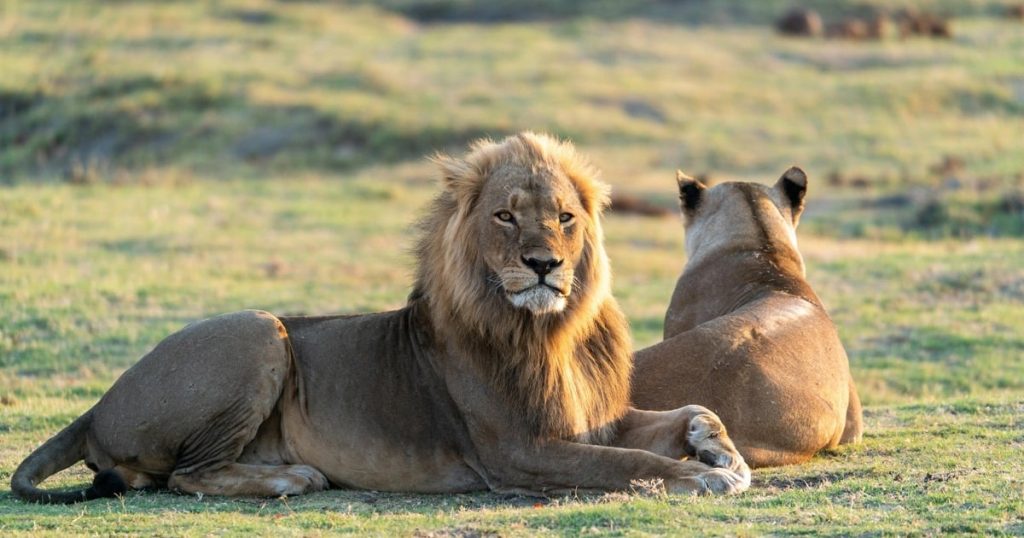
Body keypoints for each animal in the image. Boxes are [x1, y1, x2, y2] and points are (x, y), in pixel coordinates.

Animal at [12, 133, 750, 504]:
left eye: (565, 217)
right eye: (505, 216)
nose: (544, 264)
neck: (551, 331)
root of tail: (98, 403)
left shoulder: (596, 419)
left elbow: (691, 410)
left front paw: (723, 452)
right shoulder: (519, 452)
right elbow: (624, 465)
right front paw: (702, 475)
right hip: (258, 330)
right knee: (186, 476)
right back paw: (291, 477)